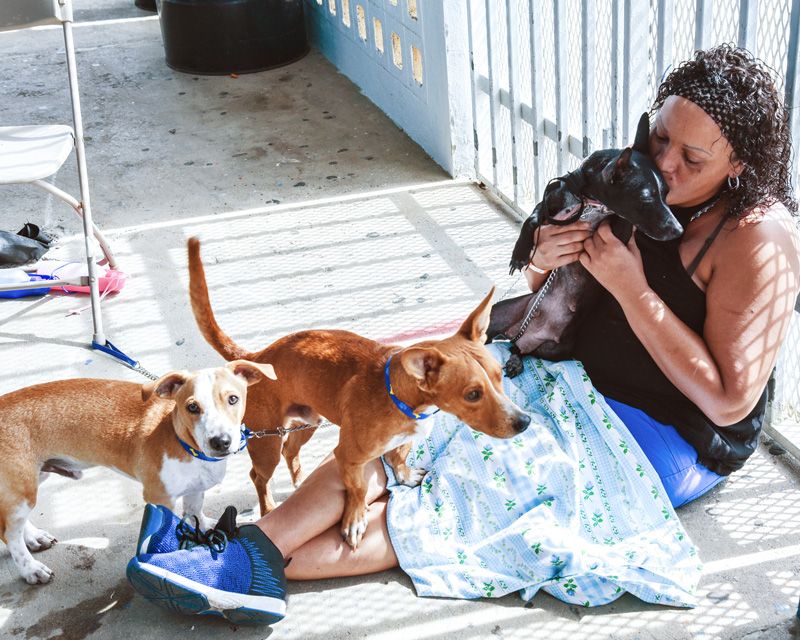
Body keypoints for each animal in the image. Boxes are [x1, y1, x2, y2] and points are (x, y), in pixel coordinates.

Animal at [0, 360, 274, 584]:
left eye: (233, 399)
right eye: (192, 407)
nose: (221, 442)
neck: (182, 442)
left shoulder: (195, 489)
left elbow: (194, 510)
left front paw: (205, 527)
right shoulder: (159, 498)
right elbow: (166, 529)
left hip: (33, 479)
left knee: (13, 524)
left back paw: (34, 537)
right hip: (23, 489)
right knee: (8, 534)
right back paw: (30, 569)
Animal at [184, 238, 528, 548]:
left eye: (500, 376)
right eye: (472, 394)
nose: (524, 422)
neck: (399, 398)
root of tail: (258, 356)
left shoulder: (402, 440)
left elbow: (398, 457)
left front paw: (403, 475)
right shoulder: (347, 457)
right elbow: (359, 489)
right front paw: (355, 519)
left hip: (308, 422)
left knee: (291, 451)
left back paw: (299, 481)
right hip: (266, 442)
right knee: (259, 476)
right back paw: (268, 508)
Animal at [488, 113, 680, 378]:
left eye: (667, 193)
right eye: (646, 199)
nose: (679, 230)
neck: (589, 202)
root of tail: (526, 333)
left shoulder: (619, 230)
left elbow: (622, 223)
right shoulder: (547, 205)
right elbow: (531, 220)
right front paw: (520, 254)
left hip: (557, 349)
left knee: (522, 350)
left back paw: (516, 359)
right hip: (497, 312)